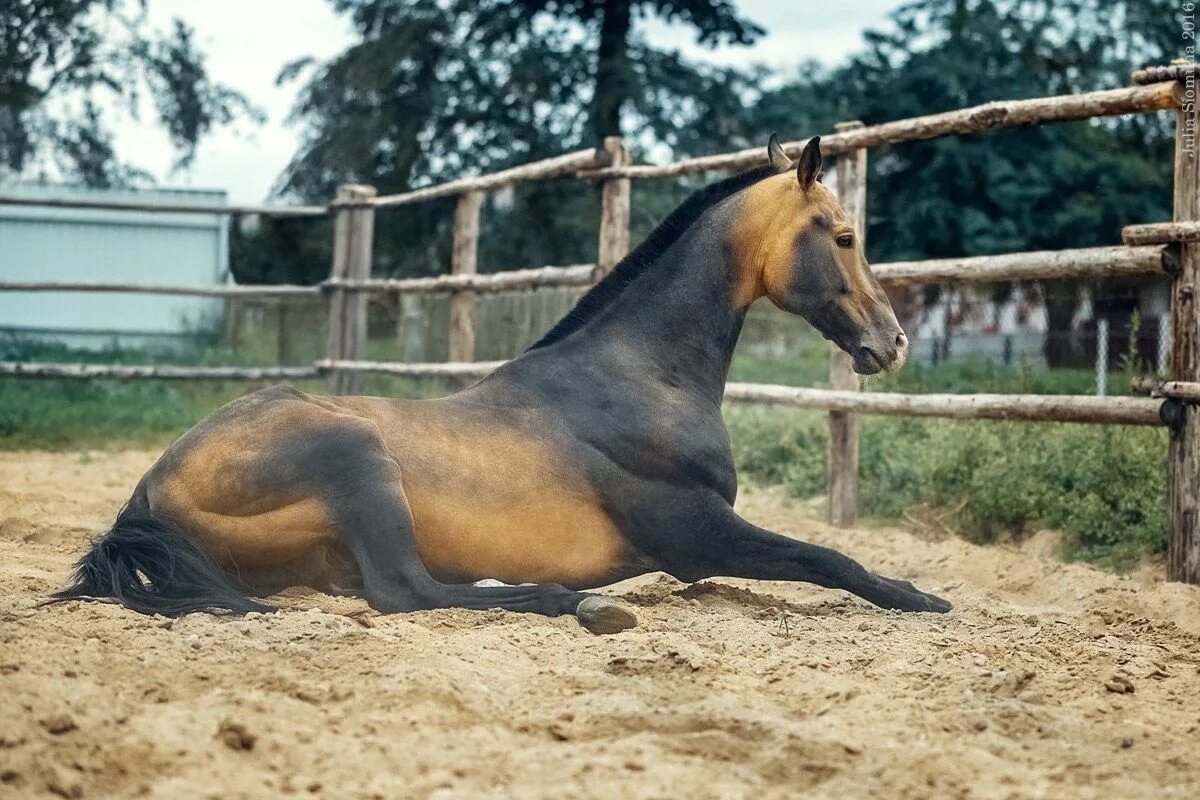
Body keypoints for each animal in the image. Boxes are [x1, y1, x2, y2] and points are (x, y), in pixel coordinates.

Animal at [51, 136, 950, 633]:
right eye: (844, 234)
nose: (892, 344)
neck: (637, 380)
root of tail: (148, 490)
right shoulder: (695, 533)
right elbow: (828, 556)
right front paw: (925, 601)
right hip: (356, 456)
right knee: (404, 591)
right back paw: (573, 603)